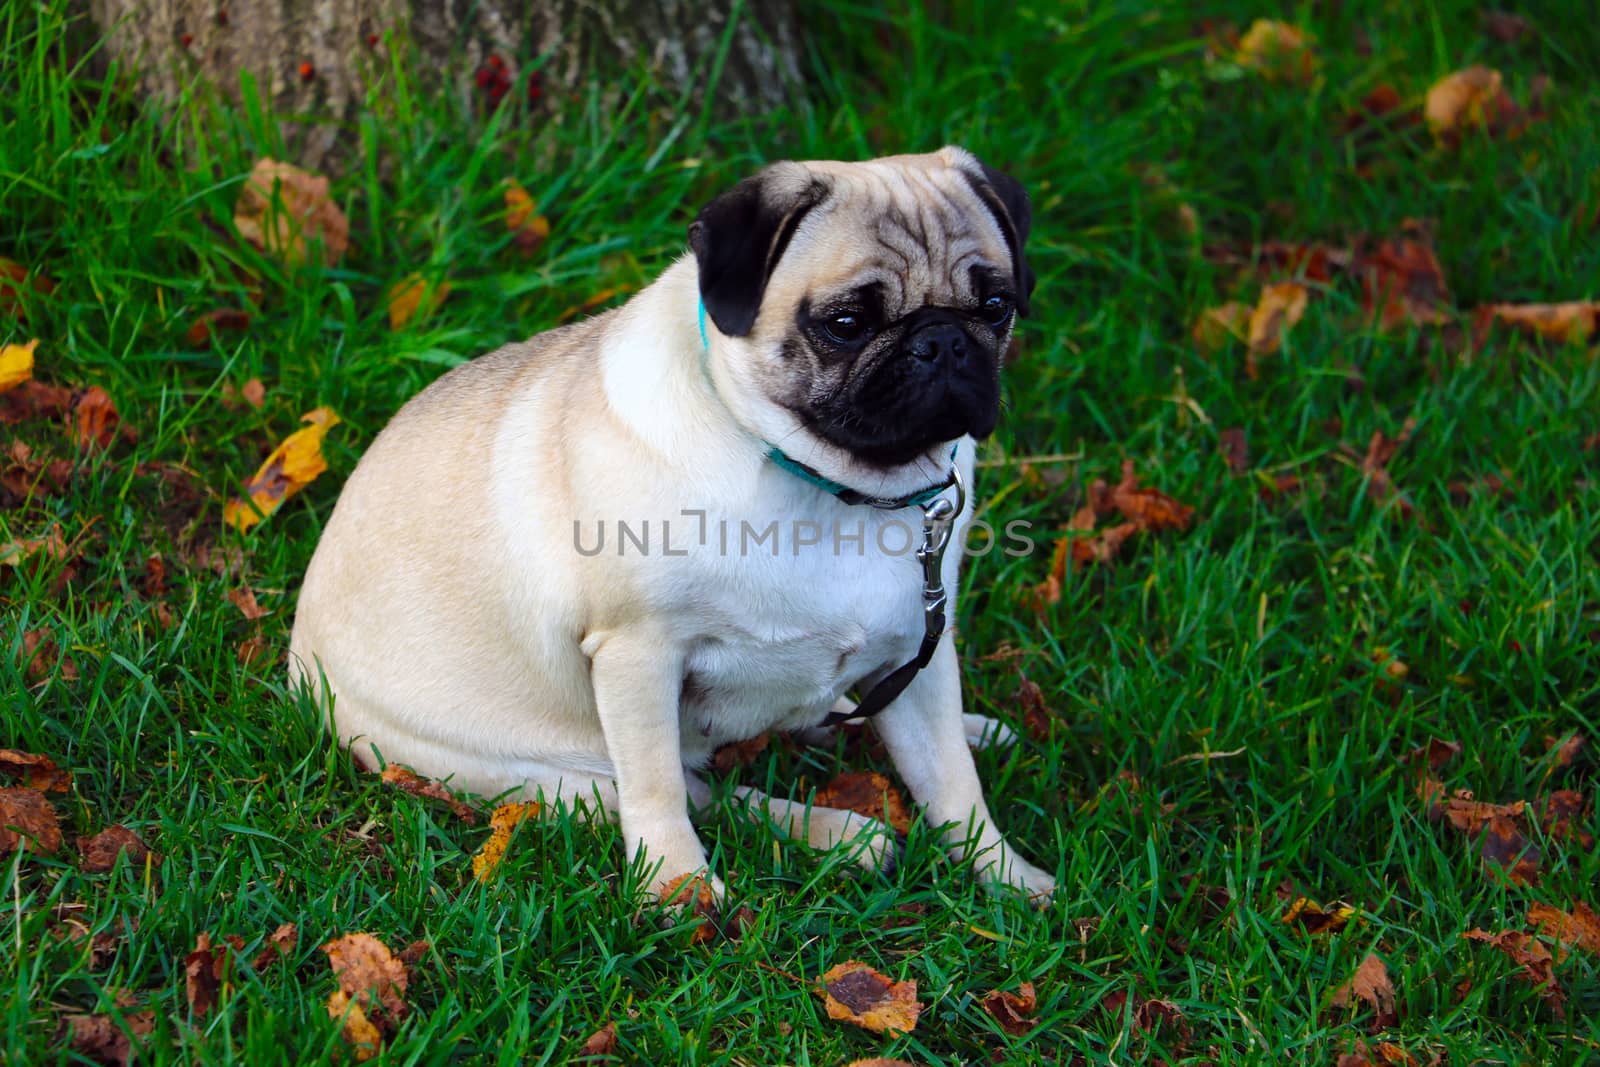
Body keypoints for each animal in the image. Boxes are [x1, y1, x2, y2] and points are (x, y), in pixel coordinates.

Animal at [289, 143, 1062, 902]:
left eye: (996, 307)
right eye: (846, 324)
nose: (942, 342)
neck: (832, 484)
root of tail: (300, 669)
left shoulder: (917, 642)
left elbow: (953, 781)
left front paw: (1006, 874)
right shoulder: (638, 654)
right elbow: (659, 788)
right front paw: (678, 887)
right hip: (539, 774)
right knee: (706, 794)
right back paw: (840, 835)